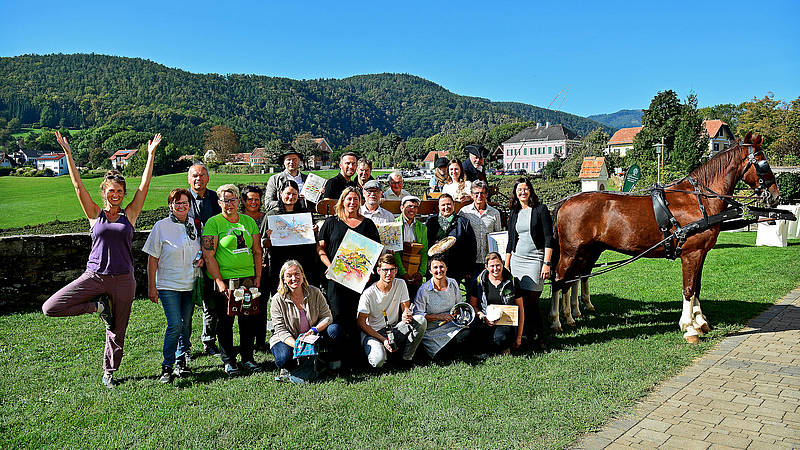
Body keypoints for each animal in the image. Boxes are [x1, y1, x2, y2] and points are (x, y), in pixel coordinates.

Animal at [552, 132, 780, 342]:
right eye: (763, 162)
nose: (775, 196)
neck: (698, 200)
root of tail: (565, 201)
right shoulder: (691, 253)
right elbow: (688, 289)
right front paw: (689, 328)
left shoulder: (701, 253)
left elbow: (697, 287)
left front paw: (700, 322)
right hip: (571, 252)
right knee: (559, 280)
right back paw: (557, 321)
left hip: (586, 251)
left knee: (573, 278)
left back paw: (572, 314)